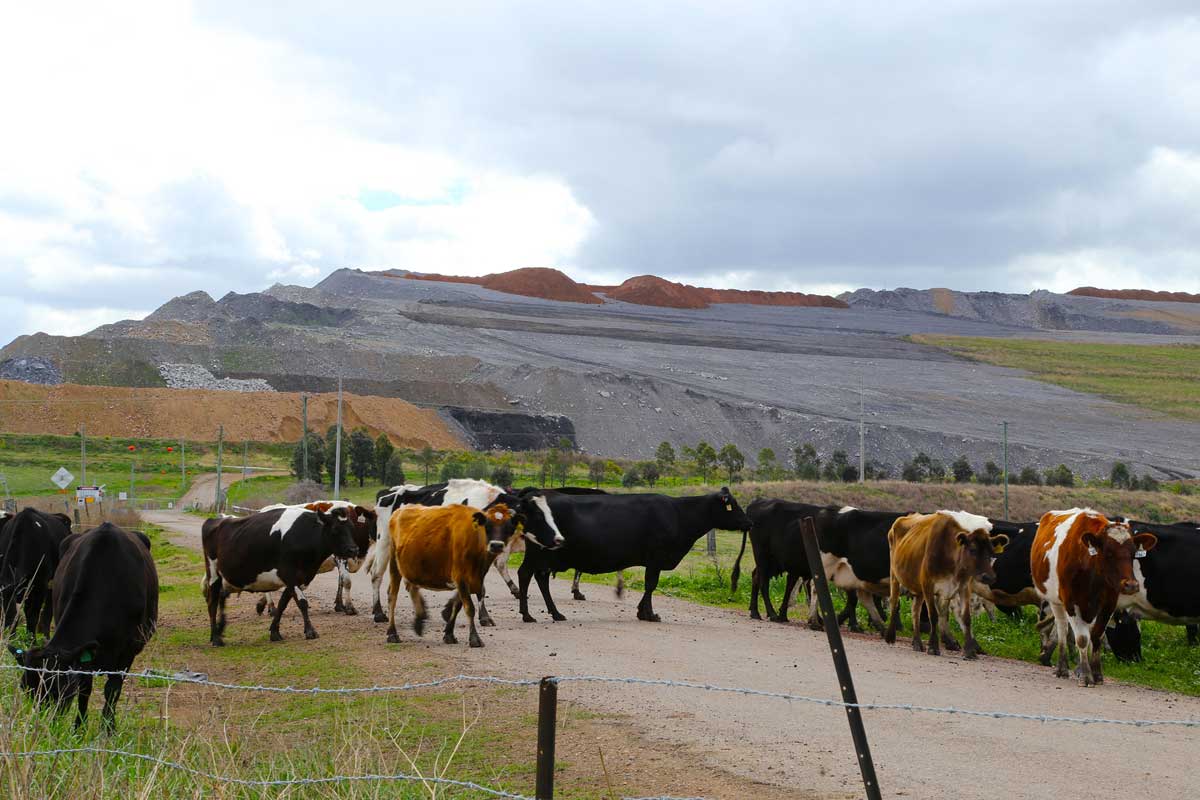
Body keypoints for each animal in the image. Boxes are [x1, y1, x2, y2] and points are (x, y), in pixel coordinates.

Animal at [7, 522, 157, 734]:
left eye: (59, 689)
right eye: (25, 688)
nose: (41, 727)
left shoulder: (128, 651)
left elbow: (113, 690)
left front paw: (108, 730)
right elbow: (85, 688)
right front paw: (79, 728)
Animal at [201, 503, 357, 647]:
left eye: (351, 528)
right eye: (335, 529)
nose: (353, 550)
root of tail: (217, 519)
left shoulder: (298, 578)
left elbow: (283, 604)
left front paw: (275, 632)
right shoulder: (289, 574)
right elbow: (302, 602)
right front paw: (310, 631)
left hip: (227, 578)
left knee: (221, 597)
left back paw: (219, 630)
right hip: (213, 572)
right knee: (212, 602)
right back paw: (215, 637)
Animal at [516, 489, 748, 623]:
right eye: (733, 506)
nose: (749, 522)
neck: (680, 514)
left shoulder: (652, 561)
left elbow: (649, 586)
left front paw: (641, 612)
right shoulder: (656, 558)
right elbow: (651, 585)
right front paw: (649, 614)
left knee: (540, 578)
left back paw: (555, 613)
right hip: (539, 553)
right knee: (526, 574)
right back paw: (528, 615)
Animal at [883, 510, 1003, 662]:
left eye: (991, 552)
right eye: (972, 549)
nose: (989, 577)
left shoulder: (964, 587)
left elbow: (965, 618)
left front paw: (969, 651)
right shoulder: (928, 584)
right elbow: (933, 616)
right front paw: (933, 647)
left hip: (918, 586)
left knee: (915, 610)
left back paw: (917, 642)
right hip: (894, 575)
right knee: (894, 602)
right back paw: (890, 636)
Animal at [1032, 506, 1152, 690]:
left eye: (1133, 554)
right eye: (1108, 553)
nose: (1131, 585)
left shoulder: (1108, 604)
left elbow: (1096, 636)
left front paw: (1095, 673)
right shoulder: (1071, 602)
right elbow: (1081, 639)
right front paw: (1086, 676)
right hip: (1055, 601)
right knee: (1062, 629)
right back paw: (1062, 668)